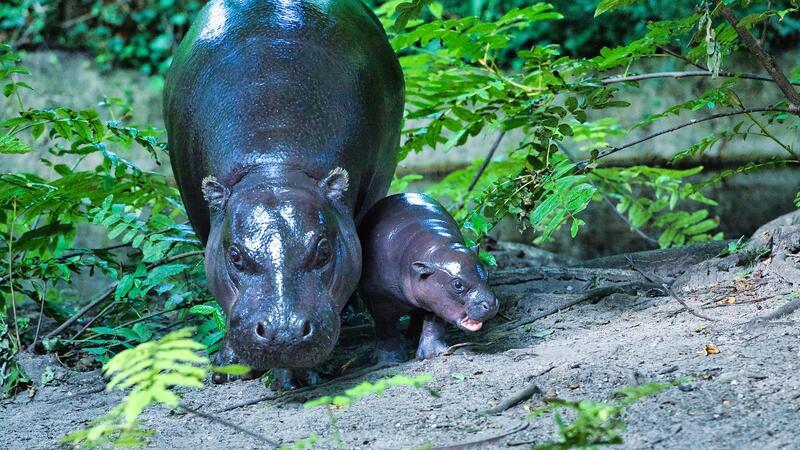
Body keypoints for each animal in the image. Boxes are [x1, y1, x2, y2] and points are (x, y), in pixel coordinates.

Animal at [163, 0, 404, 387]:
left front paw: (299, 376)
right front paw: (226, 367)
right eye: (235, 256)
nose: (284, 333)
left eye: (323, 250)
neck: (274, 164)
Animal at [357, 194, 499, 362]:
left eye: (487, 274)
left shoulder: (436, 299)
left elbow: (433, 322)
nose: (491, 304)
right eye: (457, 284)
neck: (436, 248)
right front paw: (390, 360)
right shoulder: (379, 300)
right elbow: (386, 328)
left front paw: (433, 353)